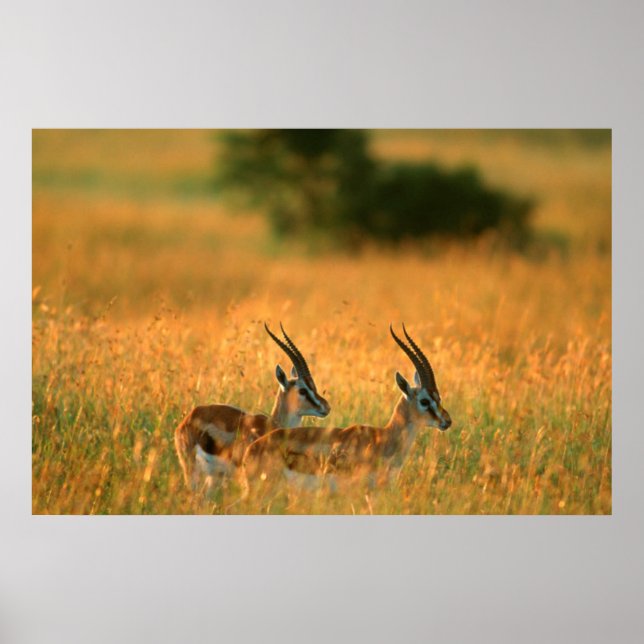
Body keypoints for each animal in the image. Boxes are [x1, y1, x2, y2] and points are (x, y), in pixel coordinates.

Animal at [174, 323, 330, 491]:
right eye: (302, 390)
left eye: (313, 386)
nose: (326, 407)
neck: (272, 426)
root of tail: (188, 418)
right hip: (192, 472)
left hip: (213, 477)